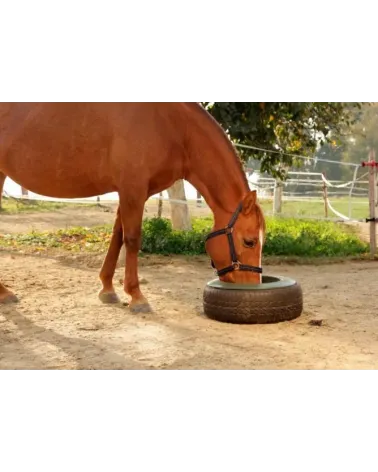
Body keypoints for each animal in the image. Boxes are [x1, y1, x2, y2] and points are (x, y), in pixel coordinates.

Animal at [0, 101, 266, 312]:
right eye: (249, 241)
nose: (252, 288)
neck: (171, 125)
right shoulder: (133, 189)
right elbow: (132, 239)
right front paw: (137, 297)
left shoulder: (130, 191)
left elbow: (117, 236)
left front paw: (107, 289)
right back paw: (4, 292)